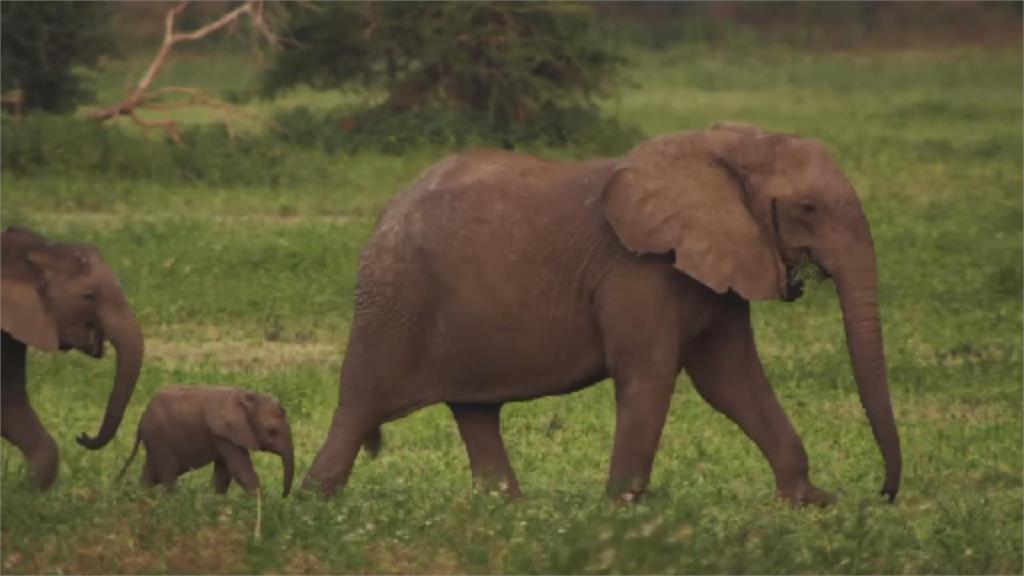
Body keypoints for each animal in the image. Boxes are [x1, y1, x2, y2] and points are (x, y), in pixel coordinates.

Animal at [120, 385, 299, 494]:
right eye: (272, 431)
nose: (283, 496)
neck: (246, 397)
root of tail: (143, 415)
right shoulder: (223, 432)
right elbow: (239, 470)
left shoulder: (225, 436)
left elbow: (224, 473)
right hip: (157, 434)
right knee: (168, 471)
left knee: (151, 473)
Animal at [305, 121, 905, 502]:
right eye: (808, 208)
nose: (882, 493)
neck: (724, 147)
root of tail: (387, 210)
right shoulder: (637, 268)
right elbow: (651, 370)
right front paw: (622, 509)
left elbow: (731, 378)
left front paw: (811, 501)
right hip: (394, 298)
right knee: (358, 405)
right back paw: (315, 504)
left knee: (475, 408)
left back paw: (507, 508)